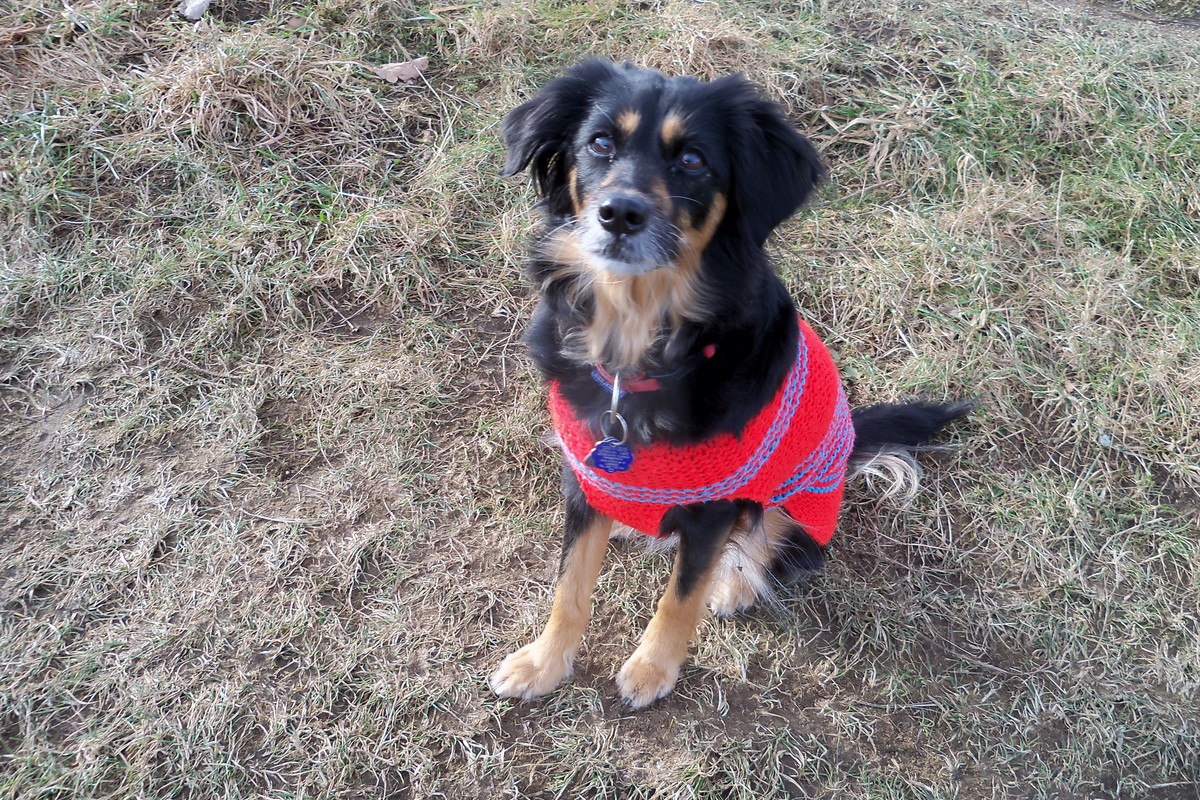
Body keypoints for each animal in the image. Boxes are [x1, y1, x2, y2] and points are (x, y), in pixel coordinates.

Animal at [488, 59, 969, 708]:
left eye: (693, 160)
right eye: (600, 143)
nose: (620, 214)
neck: (639, 349)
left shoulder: (713, 508)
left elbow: (680, 596)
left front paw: (651, 670)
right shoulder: (584, 478)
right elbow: (570, 583)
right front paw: (543, 662)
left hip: (804, 483)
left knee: (774, 530)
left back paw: (737, 581)